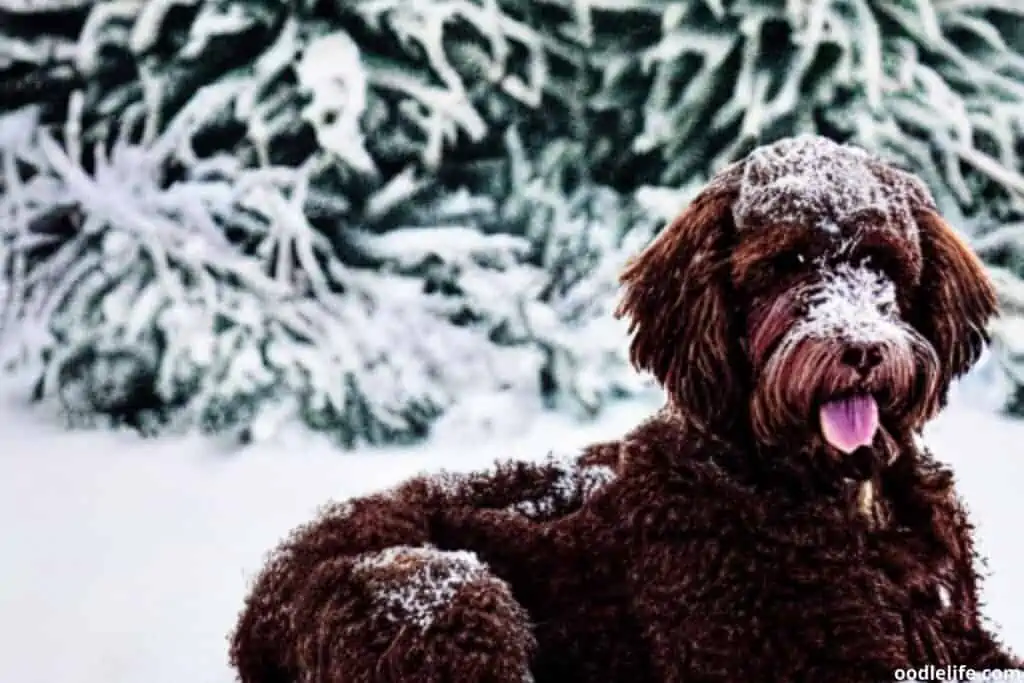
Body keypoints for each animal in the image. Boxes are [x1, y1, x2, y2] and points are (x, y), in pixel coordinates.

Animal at [228, 137, 1019, 683]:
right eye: (786, 264)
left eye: (882, 262)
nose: (861, 348)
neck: (840, 495)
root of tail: (255, 616)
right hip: (444, 598)